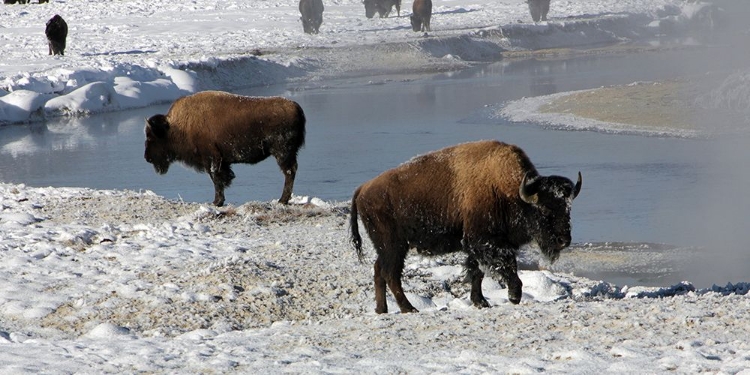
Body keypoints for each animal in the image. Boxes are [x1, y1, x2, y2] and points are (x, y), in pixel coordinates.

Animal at [145, 92, 306, 209]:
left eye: (151, 137)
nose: (147, 158)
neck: (177, 126)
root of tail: (296, 108)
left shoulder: (212, 159)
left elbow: (216, 179)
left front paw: (217, 202)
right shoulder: (219, 161)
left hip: (282, 153)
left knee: (289, 172)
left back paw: (282, 200)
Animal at [350, 141, 584, 314]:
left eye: (568, 208)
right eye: (544, 210)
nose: (564, 240)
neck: (510, 192)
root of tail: (363, 188)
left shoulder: (477, 245)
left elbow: (477, 271)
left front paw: (481, 301)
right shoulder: (485, 242)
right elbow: (506, 264)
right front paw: (514, 296)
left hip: (388, 248)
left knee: (379, 270)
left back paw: (382, 309)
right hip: (394, 246)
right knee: (391, 274)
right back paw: (409, 308)